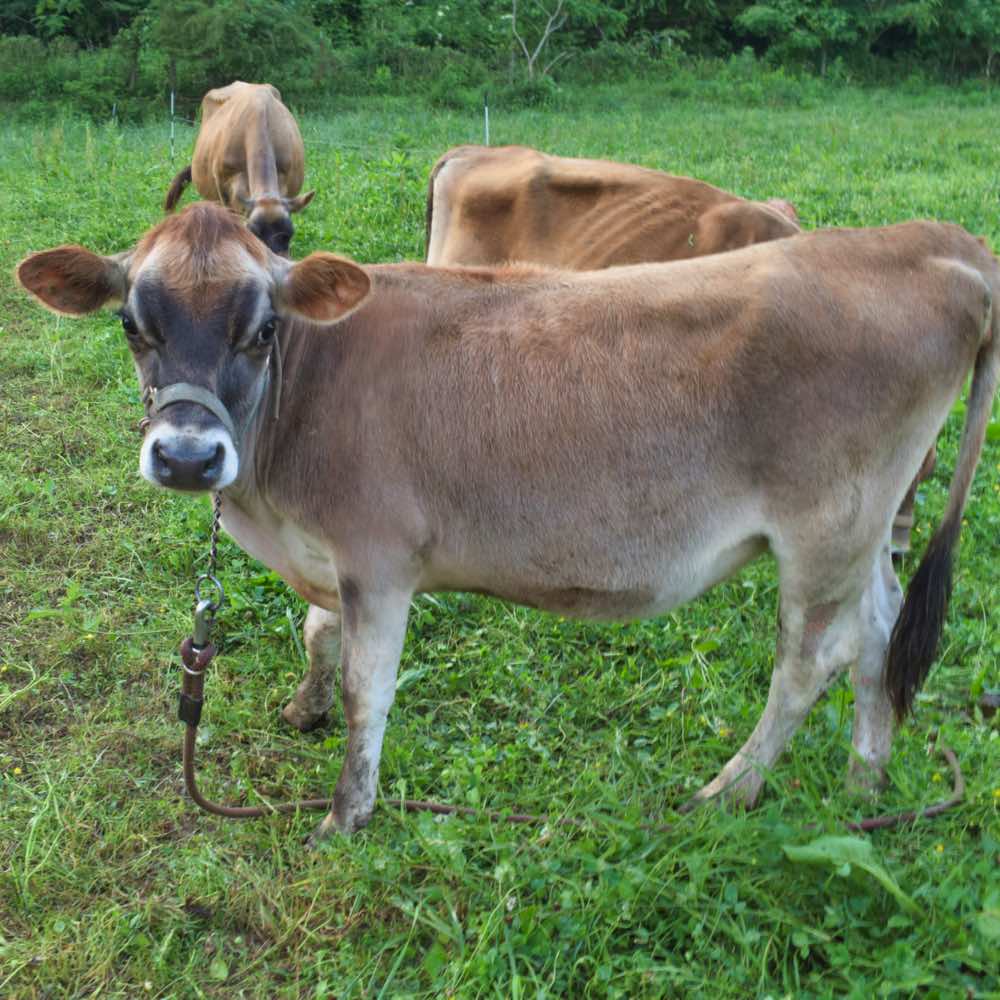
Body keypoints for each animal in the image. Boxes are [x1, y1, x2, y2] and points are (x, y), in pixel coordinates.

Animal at [17, 203, 998, 845]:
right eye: (131, 323)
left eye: (260, 329)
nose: (187, 457)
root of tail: (930, 243)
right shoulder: (333, 554)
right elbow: (316, 633)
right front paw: (304, 708)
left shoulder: (381, 559)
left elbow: (370, 689)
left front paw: (345, 814)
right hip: (865, 530)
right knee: (881, 634)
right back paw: (865, 781)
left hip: (824, 530)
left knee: (809, 663)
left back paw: (728, 793)